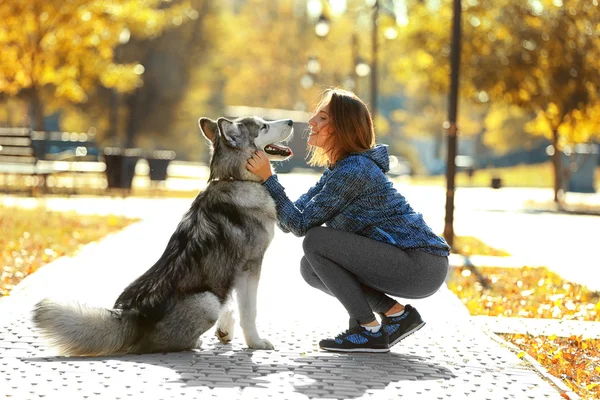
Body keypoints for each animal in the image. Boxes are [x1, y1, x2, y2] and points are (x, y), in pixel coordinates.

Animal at [31, 115, 294, 356]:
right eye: (264, 126)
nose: (291, 121)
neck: (234, 178)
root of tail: (134, 313)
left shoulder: (230, 272)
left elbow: (228, 301)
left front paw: (225, 329)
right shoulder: (250, 265)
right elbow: (248, 312)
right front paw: (255, 342)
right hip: (206, 301)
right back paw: (194, 342)